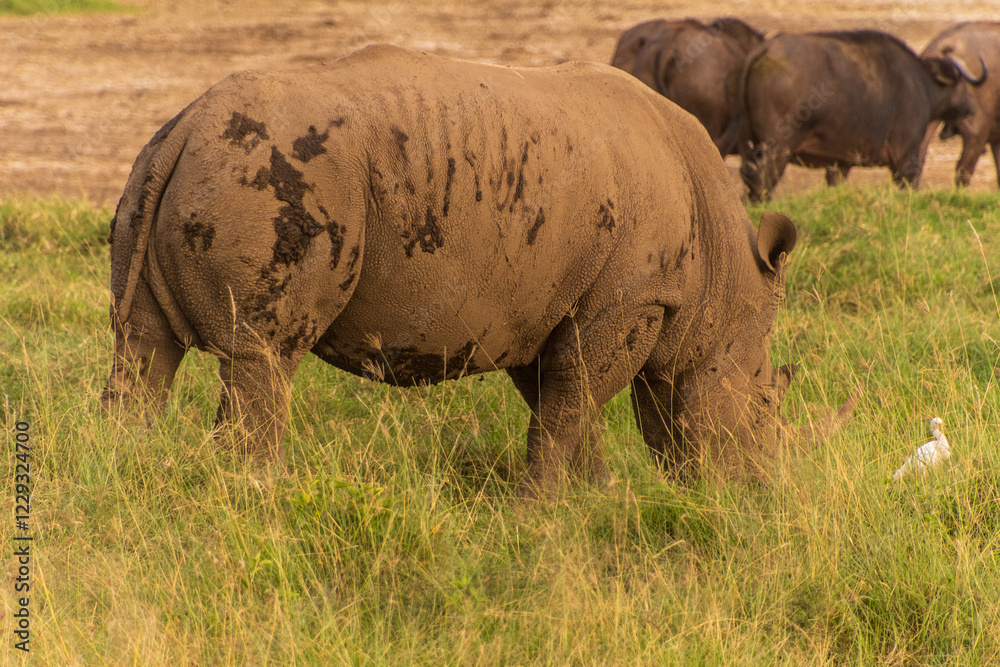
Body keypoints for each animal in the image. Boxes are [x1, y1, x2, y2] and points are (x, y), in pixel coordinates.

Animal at [103, 45, 852, 497]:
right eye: (765, 405)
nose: (758, 493)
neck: (724, 277)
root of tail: (188, 125)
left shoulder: (548, 306)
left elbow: (563, 407)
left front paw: (593, 499)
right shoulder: (633, 300)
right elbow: (574, 402)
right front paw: (541, 511)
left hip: (166, 172)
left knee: (142, 350)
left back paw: (127, 482)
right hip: (276, 177)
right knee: (262, 356)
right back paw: (264, 497)